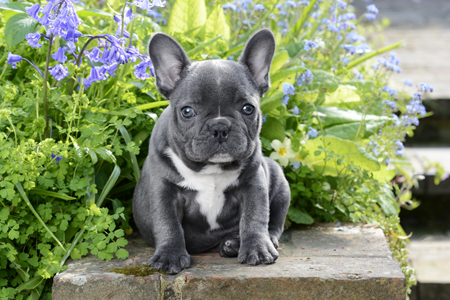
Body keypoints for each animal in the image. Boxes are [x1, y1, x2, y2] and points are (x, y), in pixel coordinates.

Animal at [132, 29, 290, 276]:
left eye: (248, 108)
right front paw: (170, 256)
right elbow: (168, 223)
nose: (220, 127)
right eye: (187, 111)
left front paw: (257, 248)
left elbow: (255, 216)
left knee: (275, 222)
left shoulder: (254, 184)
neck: (210, 170)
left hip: (280, 182)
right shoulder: (164, 190)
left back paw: (243, 243)